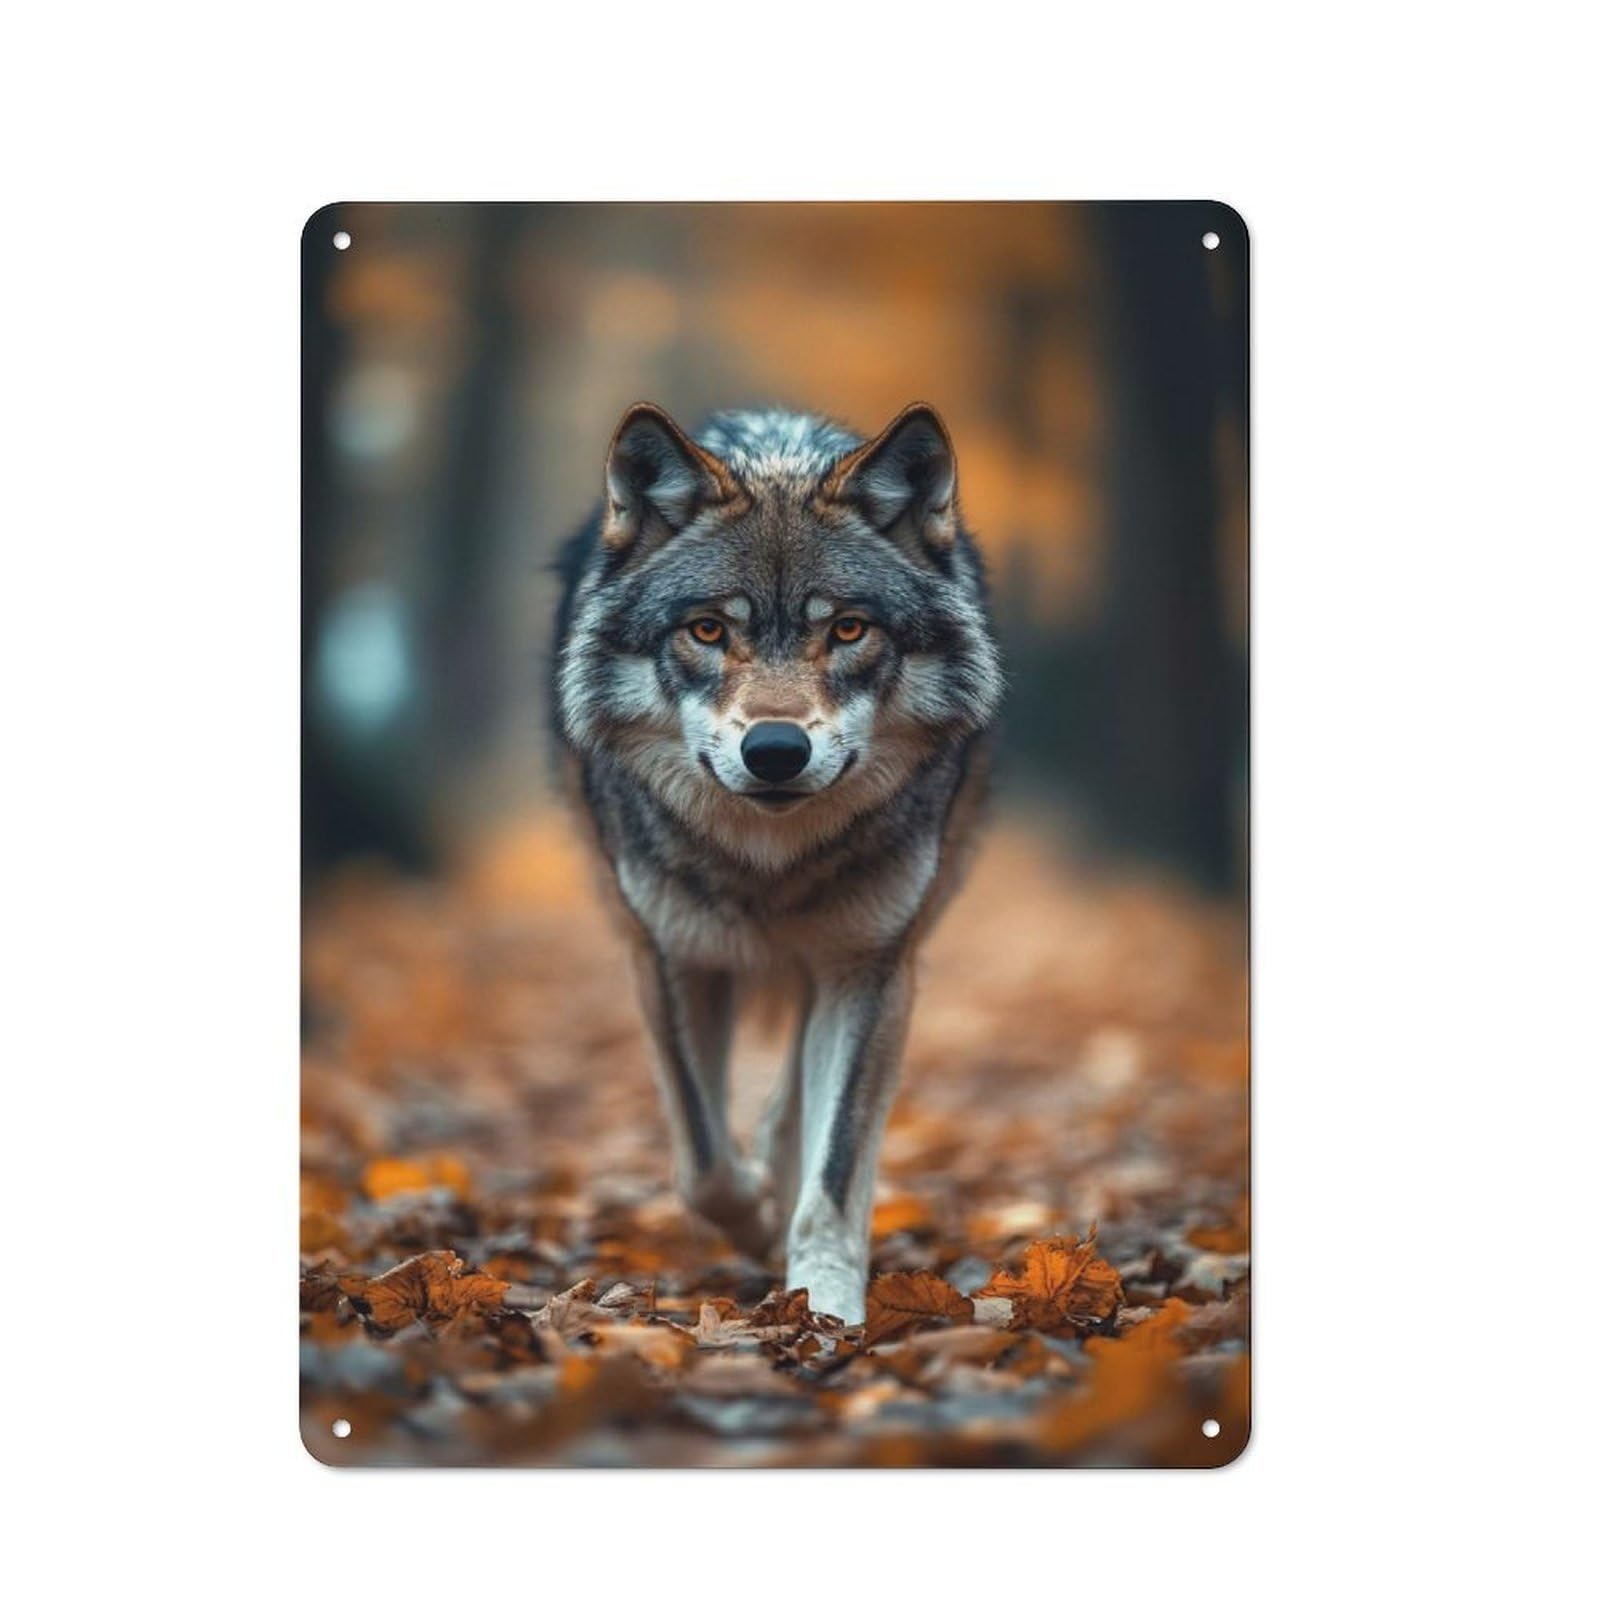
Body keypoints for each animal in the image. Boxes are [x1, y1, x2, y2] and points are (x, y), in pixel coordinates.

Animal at [553, 401, 1002, 1322]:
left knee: (799, 1098)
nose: (774, 751)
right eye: (708, 629)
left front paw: (825, 1306)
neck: (771, 865)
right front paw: (757, 1222)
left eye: (848, 628)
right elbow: (702, 1164)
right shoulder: (670, 957)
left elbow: (834, 1168)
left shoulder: (872, 967)